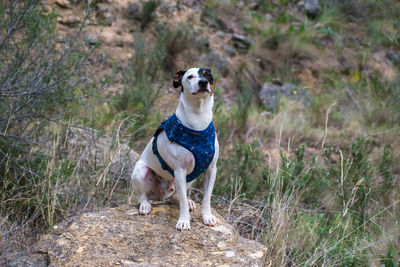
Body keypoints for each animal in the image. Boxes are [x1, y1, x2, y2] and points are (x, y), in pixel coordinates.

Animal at [130, 68, 219, 231]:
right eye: (190, 77)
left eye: (208, 75)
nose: (203, 82)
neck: (198, 120)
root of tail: (161, 194)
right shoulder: (179, 171)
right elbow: (182, 201)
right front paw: (183, 221)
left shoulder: (211, 169)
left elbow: (207, 197)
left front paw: (207, 217)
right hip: (141, 171)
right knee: (142, 195)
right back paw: (145, 205)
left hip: (190, 178)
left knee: (176, 196)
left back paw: (188, 201)